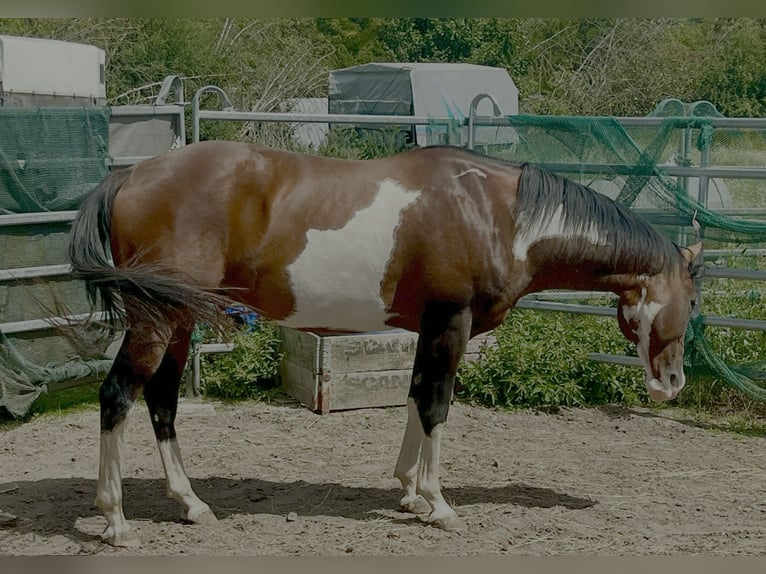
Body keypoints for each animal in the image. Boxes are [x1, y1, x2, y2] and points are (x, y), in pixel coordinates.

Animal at [68, 141, 702, 547]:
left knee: (162, 402)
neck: (499, 215)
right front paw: (439, 504)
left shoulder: (428, 328)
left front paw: (409, 493)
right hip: (156, 319)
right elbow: (436, 404)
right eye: (692, 302)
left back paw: (191, 504)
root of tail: (131, 177)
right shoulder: (451, 321)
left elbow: (416, 397)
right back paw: (115, 520)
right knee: (117, 396)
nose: (672, 384)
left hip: (180, 319)